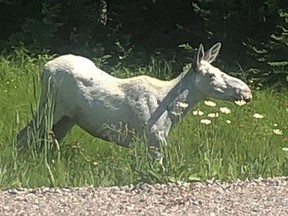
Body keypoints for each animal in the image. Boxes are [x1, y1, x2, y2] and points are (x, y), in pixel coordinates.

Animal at [17, 42, 252, 149]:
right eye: (211, 76)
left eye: (220, 70)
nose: (246, 92)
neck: (173, 112)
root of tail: (45, 67)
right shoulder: (154, 141)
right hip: (49, 108)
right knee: (23, 135)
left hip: (67, 118)